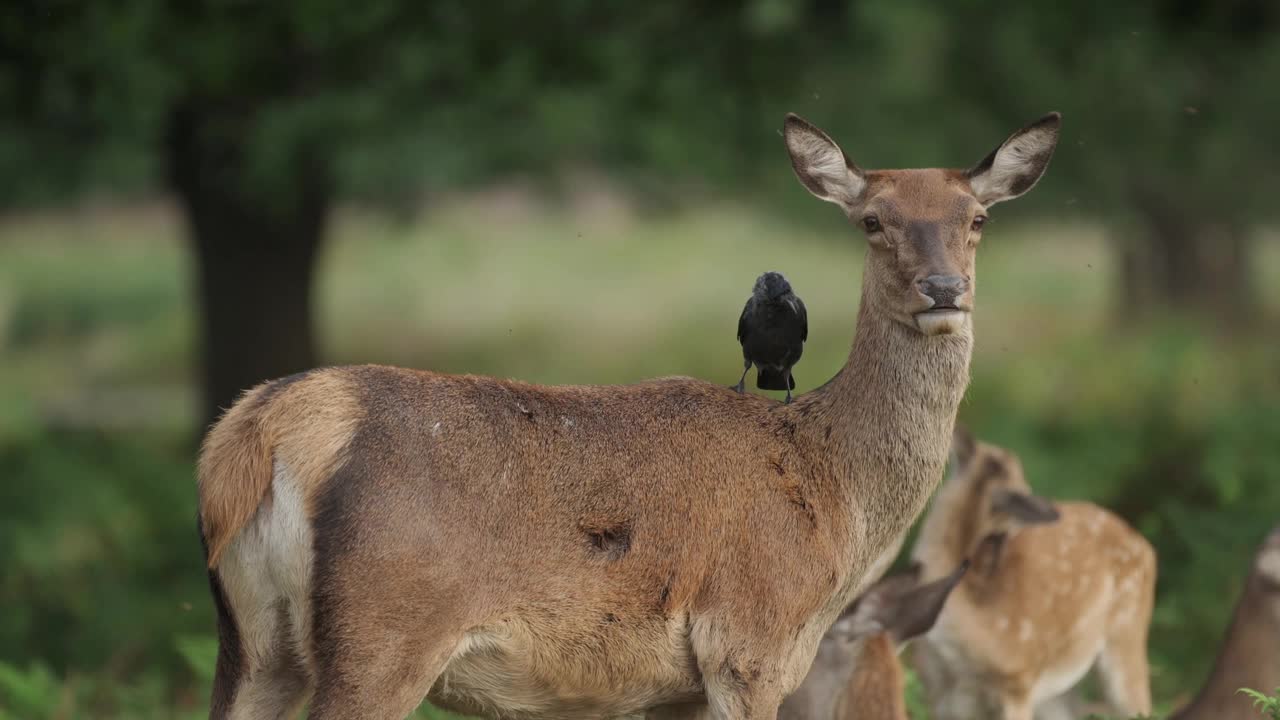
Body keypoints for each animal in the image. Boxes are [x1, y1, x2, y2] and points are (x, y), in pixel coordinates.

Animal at [906, 425, 1157, 717]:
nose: (1048, 508)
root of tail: (1148, 548)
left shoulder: (1019, 681)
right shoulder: (939, 695)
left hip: (1127, 638)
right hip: (1059, 691)